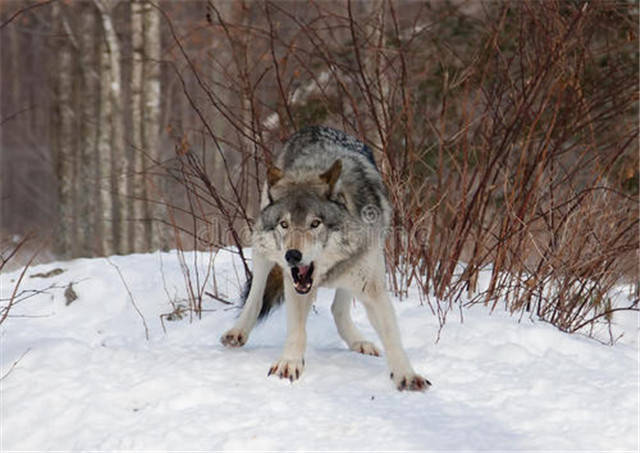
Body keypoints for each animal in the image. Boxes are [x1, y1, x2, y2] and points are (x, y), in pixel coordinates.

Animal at [220, 125, 430, 390]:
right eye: (284, 224)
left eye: (315, 223)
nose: (292, 255)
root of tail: (315, 127)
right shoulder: (296, 285)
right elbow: (297, 330)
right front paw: (289, 363)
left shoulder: (371, 288)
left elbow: (392, 336)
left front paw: (406, 375)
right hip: (262, 251)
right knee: (256, 296)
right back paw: (238, 331)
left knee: (337, 308)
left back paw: (359, 342)